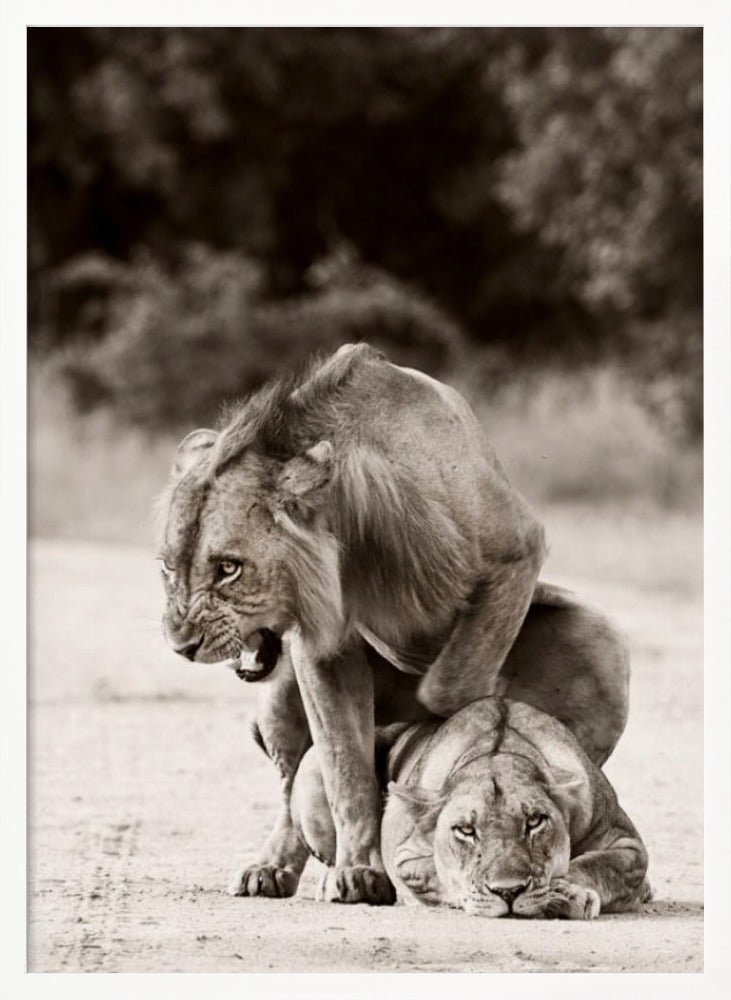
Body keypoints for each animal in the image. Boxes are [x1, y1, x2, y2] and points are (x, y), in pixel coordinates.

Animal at [159, 343, 629, 904]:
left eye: (229, 568)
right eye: (168, 567)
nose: (181, 645)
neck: (350, 529)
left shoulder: (514, 553)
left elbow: (449, 690)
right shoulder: (323, 646)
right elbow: (345, 767)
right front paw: (360, 870)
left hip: (597, 644)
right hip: (277, 697)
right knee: (294, 785)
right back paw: (271, 866)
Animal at [290, 697, 649, 918]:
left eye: (534, 821)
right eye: (465, 830)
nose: (509, 892)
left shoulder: (627, 844)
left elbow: (597, 865)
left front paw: (566, 892)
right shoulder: (405, 855)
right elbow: (441, 874)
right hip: (313, 764)